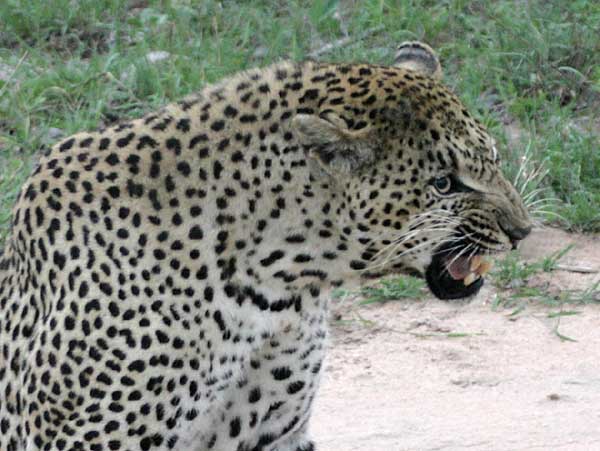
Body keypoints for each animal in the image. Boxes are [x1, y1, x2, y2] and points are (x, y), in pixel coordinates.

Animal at [0, 40, 532, 450]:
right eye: (444, 184)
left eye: (493, 159)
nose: (522, 231)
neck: (276, 286)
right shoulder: (88, 438)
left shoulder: (275, 431)